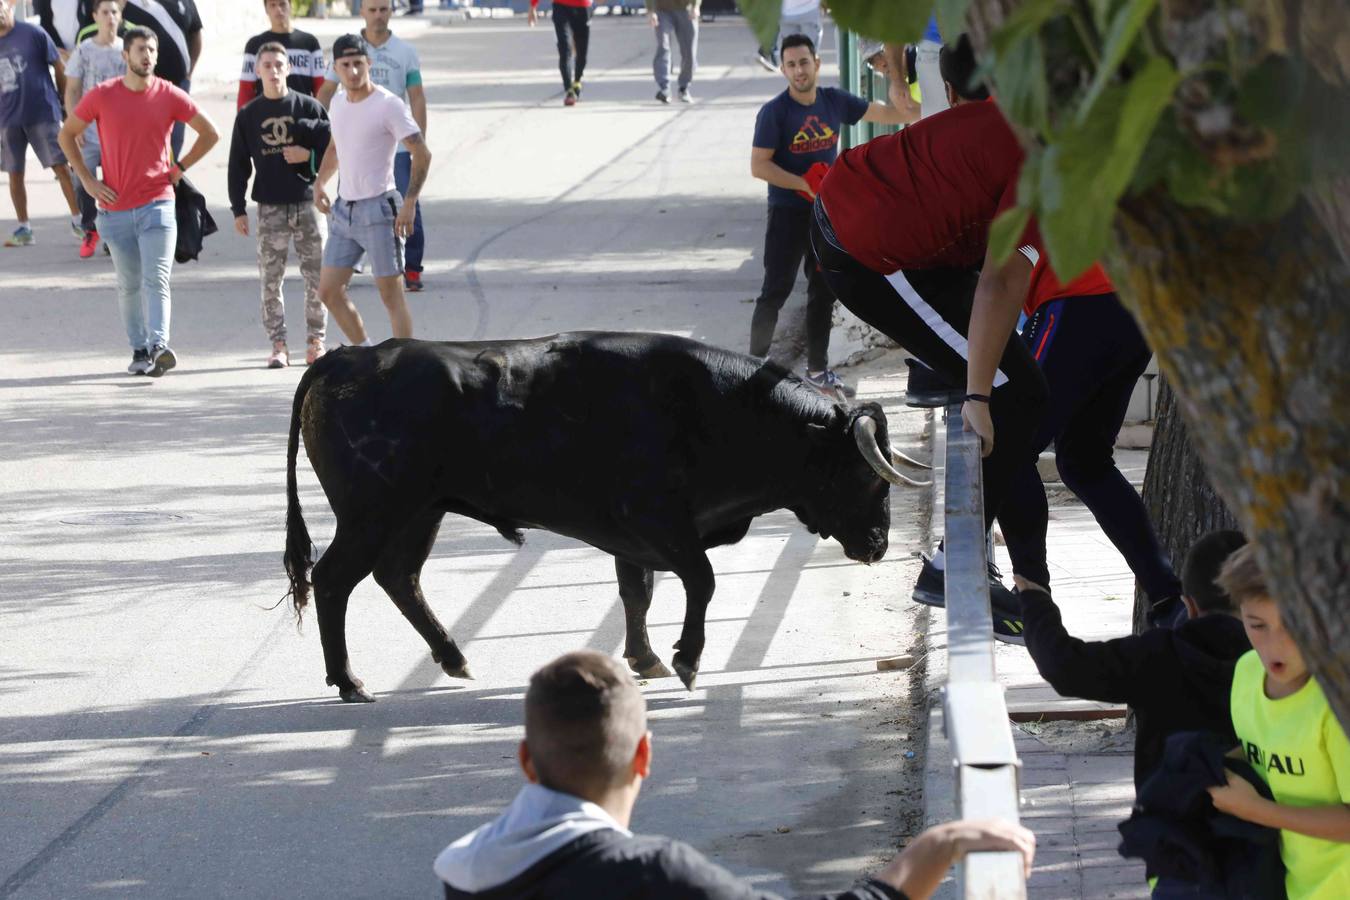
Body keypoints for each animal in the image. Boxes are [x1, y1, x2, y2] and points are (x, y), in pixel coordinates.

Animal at [279, 334, 923, 701]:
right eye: (869, 475)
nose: (879, 543)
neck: (713, 408)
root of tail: (344, 360)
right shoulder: (659, 522)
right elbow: (700, 581)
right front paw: (686, 659)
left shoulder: (634, 536)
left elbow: (637, 591)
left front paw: (645, 658)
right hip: (373, 515)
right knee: (334, 580)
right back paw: (349, 682)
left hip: (419, 514)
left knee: (399, 578)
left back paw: (454, 658)